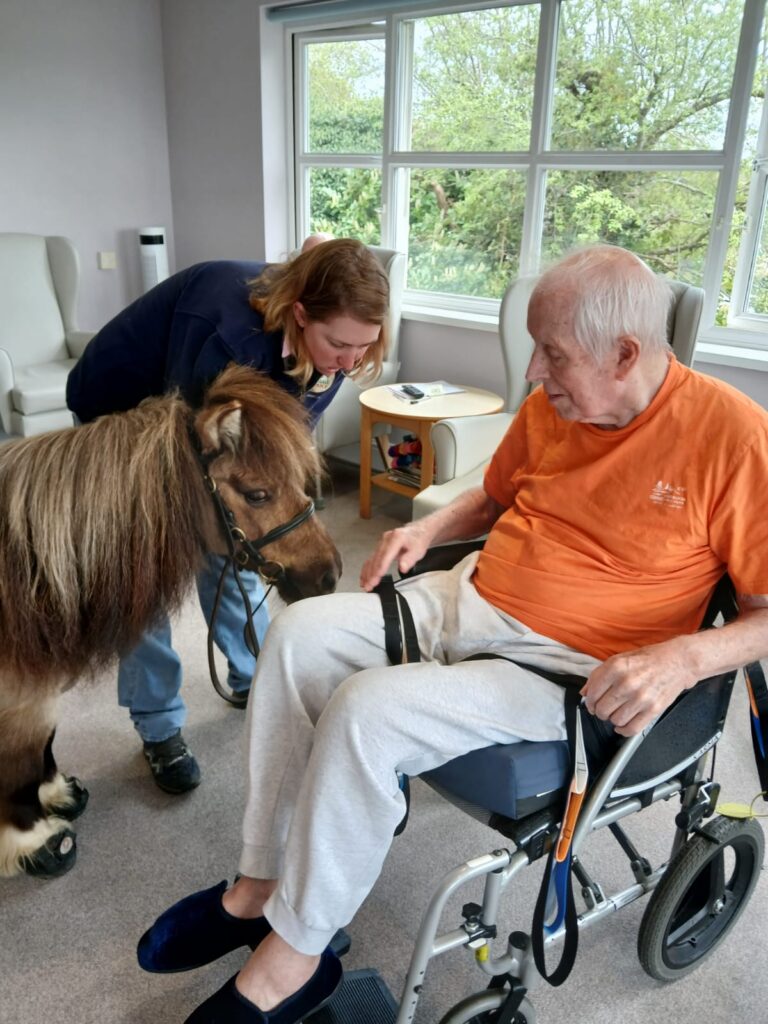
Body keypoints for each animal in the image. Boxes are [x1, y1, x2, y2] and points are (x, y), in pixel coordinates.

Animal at [0, 364, 341, 878]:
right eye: (258, 493)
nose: (330, 573)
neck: (24, 567)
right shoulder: (21, 696)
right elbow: (22, 760)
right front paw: (35, 839)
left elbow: (42, 747)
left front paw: (55, 795)